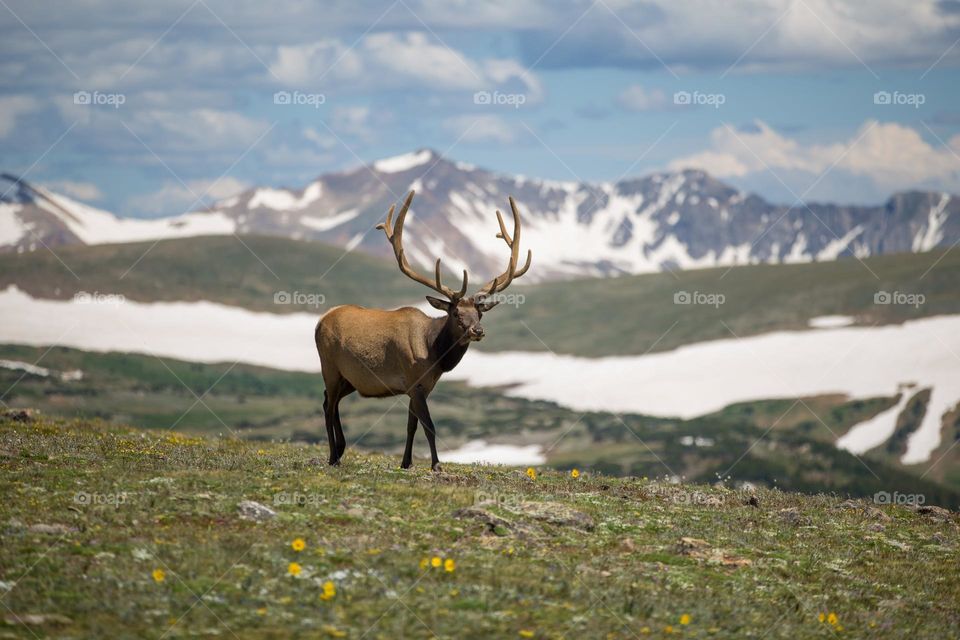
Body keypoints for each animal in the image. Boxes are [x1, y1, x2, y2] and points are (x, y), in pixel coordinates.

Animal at [314, 190, 531, 471]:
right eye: (456, 313)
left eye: (480, 312)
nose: (478, 330)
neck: (434, 354)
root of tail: (320, 320)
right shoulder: (414, 379)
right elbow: (429, 425)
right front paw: (436, 465)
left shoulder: (422, 386)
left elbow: (411, 425)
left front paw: (406, 463)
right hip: (329, 366)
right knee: (328, 405)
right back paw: (333, 456)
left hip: (350, 378)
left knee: (329, 400)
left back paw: (340, 449)